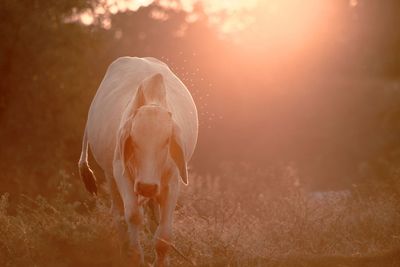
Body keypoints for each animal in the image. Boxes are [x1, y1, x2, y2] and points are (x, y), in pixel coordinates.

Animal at [77, 56, 198, 266]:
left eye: (167, 141)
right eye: (133, 140)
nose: (146, 187)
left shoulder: (172, 183)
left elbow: (163, 236)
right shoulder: (122, 174)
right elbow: (133, 215)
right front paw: (135, 256)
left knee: (153, 219)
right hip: (110, 175)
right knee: (118, 214)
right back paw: (123, 250)